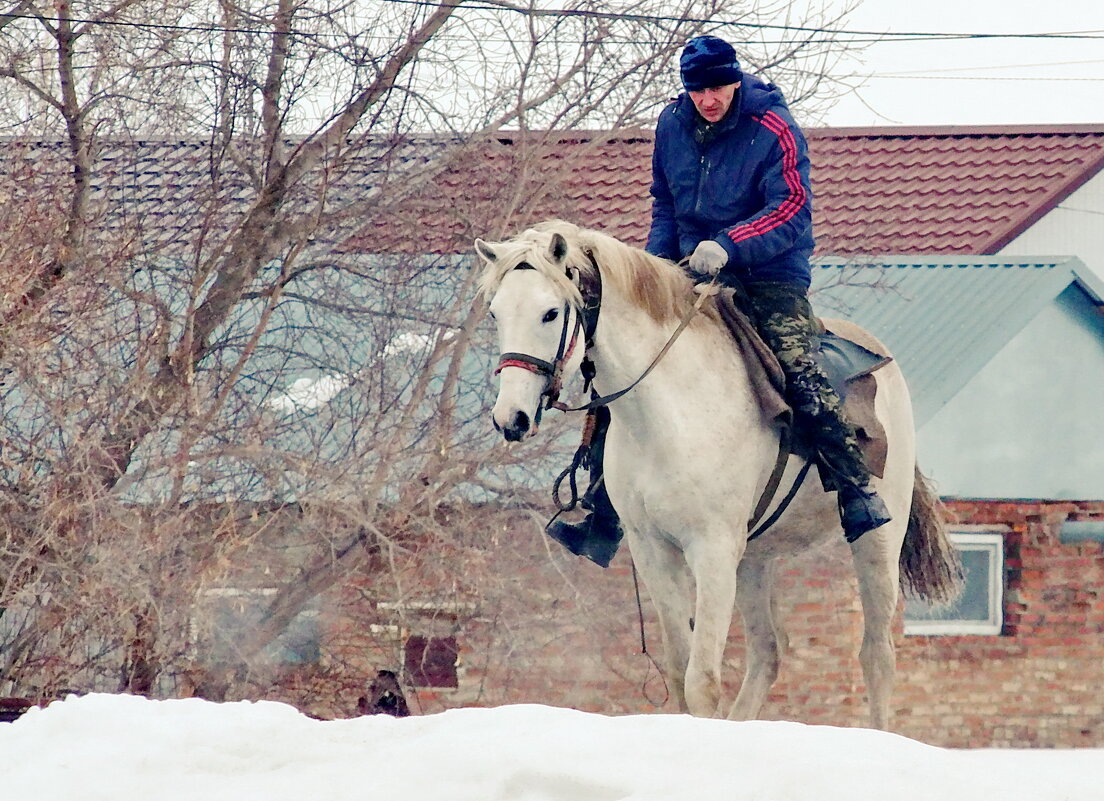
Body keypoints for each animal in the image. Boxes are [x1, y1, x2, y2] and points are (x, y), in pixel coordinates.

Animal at [474, 219, 958, 728]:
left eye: (550, 313)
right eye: (496, 314)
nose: (511, 418)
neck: (668, 409)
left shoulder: (712, 550)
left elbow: (702, 681)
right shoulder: (654, 551)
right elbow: (679, 671)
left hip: (876, 542)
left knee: (876, 654)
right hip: (755, 557)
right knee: (768, 652)